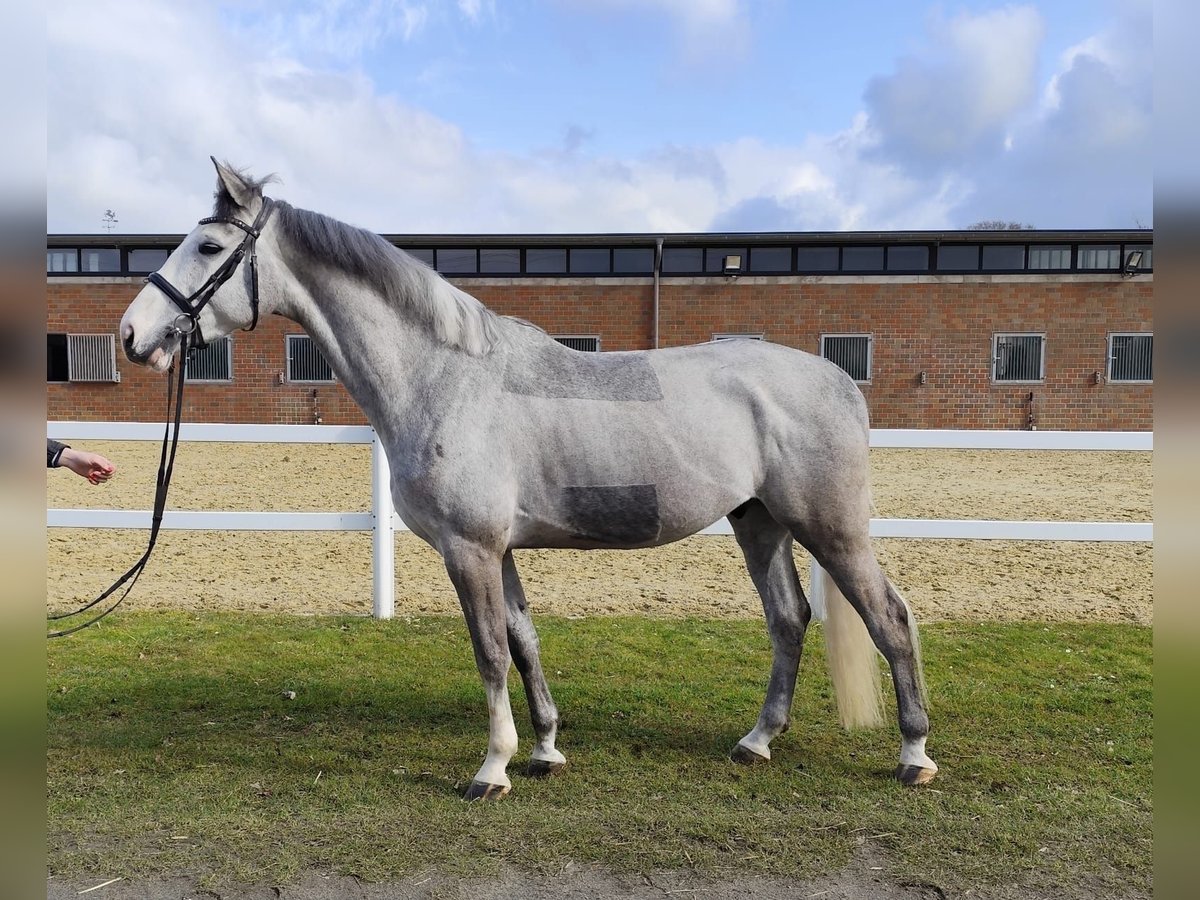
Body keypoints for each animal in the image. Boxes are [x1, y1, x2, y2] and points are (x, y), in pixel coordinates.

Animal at [121, 158, 940, 801]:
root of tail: (839, 380)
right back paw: (757, 741)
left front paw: (493, 767)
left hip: (831, 530)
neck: (443, 375)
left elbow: (488, 651)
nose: (133, 336)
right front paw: (546, 748)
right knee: (788, 619)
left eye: (209, 244)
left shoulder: (470, 549)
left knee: (890, 618)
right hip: (758, 521)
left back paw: (913, 754)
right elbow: (523, 641)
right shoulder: (501, 551)